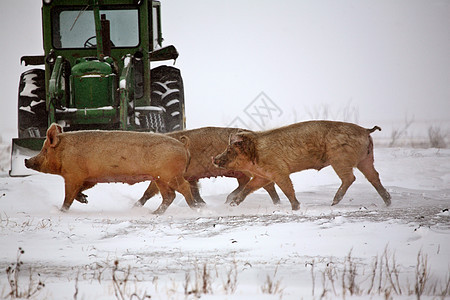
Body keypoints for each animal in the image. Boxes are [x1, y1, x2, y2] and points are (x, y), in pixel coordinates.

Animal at [25, 123, 199, 214]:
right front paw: (85, 199)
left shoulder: (73, 175)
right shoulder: (89, 178)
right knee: (169, 196)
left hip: (170, 175)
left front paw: (61, 211)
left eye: (44, 150)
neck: (64, 152)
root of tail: (183, 145)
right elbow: (79, 191)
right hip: (160, 178)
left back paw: (194, 208)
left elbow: (68, 196)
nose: (27, 161)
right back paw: (154, 213)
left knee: (183, 187)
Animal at [135, 126, 280, 206]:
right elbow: (194, 190)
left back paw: (277, 203)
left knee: (268, 184)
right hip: (239, 172)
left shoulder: (164, 173)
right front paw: (202, 204)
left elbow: (149, 191)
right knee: (245, 182)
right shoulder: (190, 176)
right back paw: (227, 201)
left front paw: (135, 206)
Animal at [213, 120, 392, 210]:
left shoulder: (279, 171)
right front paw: (233, 204)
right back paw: (388, 202)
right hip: (366, 159)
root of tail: (366, 130)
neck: (255, 155)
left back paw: (333, 202)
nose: (214, 158)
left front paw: (295, 207)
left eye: (229, 150)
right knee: (374, 177)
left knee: (351, 178)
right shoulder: (263, 176)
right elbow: (249, 187)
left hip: (340, 159)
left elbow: (288, 188)